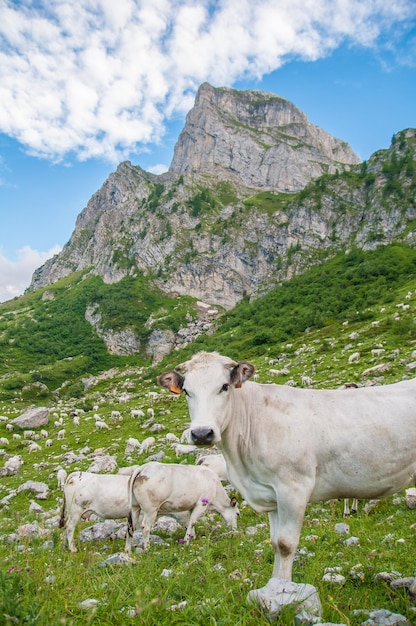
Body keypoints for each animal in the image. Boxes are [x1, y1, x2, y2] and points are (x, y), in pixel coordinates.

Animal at [158, 352, 416, 580]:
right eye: (186, 391)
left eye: (224, 386)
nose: (202, 433)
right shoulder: (271, 494)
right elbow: (274, 543)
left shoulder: (293, 488)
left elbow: (285, 544)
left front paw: (283, 592)